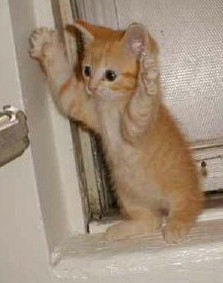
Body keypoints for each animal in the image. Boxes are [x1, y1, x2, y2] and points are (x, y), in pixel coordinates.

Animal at [30, 18, 204, 243]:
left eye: (110, 75)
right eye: (86, 71)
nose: (92, 87)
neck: (110, 105)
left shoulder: (135, 127)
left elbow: (139, 109)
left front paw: (147, 83)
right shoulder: (83, 104)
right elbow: (64, 88)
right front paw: (46, 43)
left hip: (179, 189)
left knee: (189, 206)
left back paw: (176, 226)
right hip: (127, 195)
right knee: (152, 220)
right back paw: (122, 229)